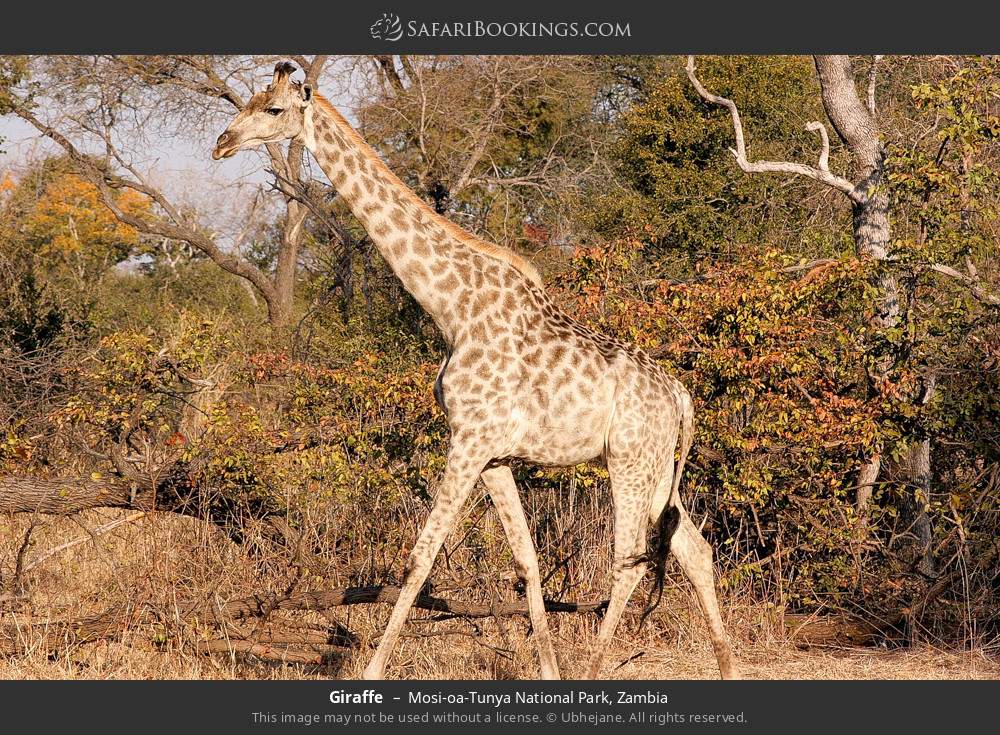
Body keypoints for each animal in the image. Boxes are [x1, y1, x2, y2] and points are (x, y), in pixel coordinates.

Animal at [212, 62, 738, 681]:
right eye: (250, 100)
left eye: (273, 109)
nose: (222, 143)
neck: (452, 307)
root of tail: (681, 396)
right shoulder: (493, 454)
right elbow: (528, 561)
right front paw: (547, 671)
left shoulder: (467, 438)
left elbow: (419, 558)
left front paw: (371, 671)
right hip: (656, 467)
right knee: (695, 550)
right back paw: (727, 667)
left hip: (629, 460)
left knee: (629, 561)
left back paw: (594, 668)